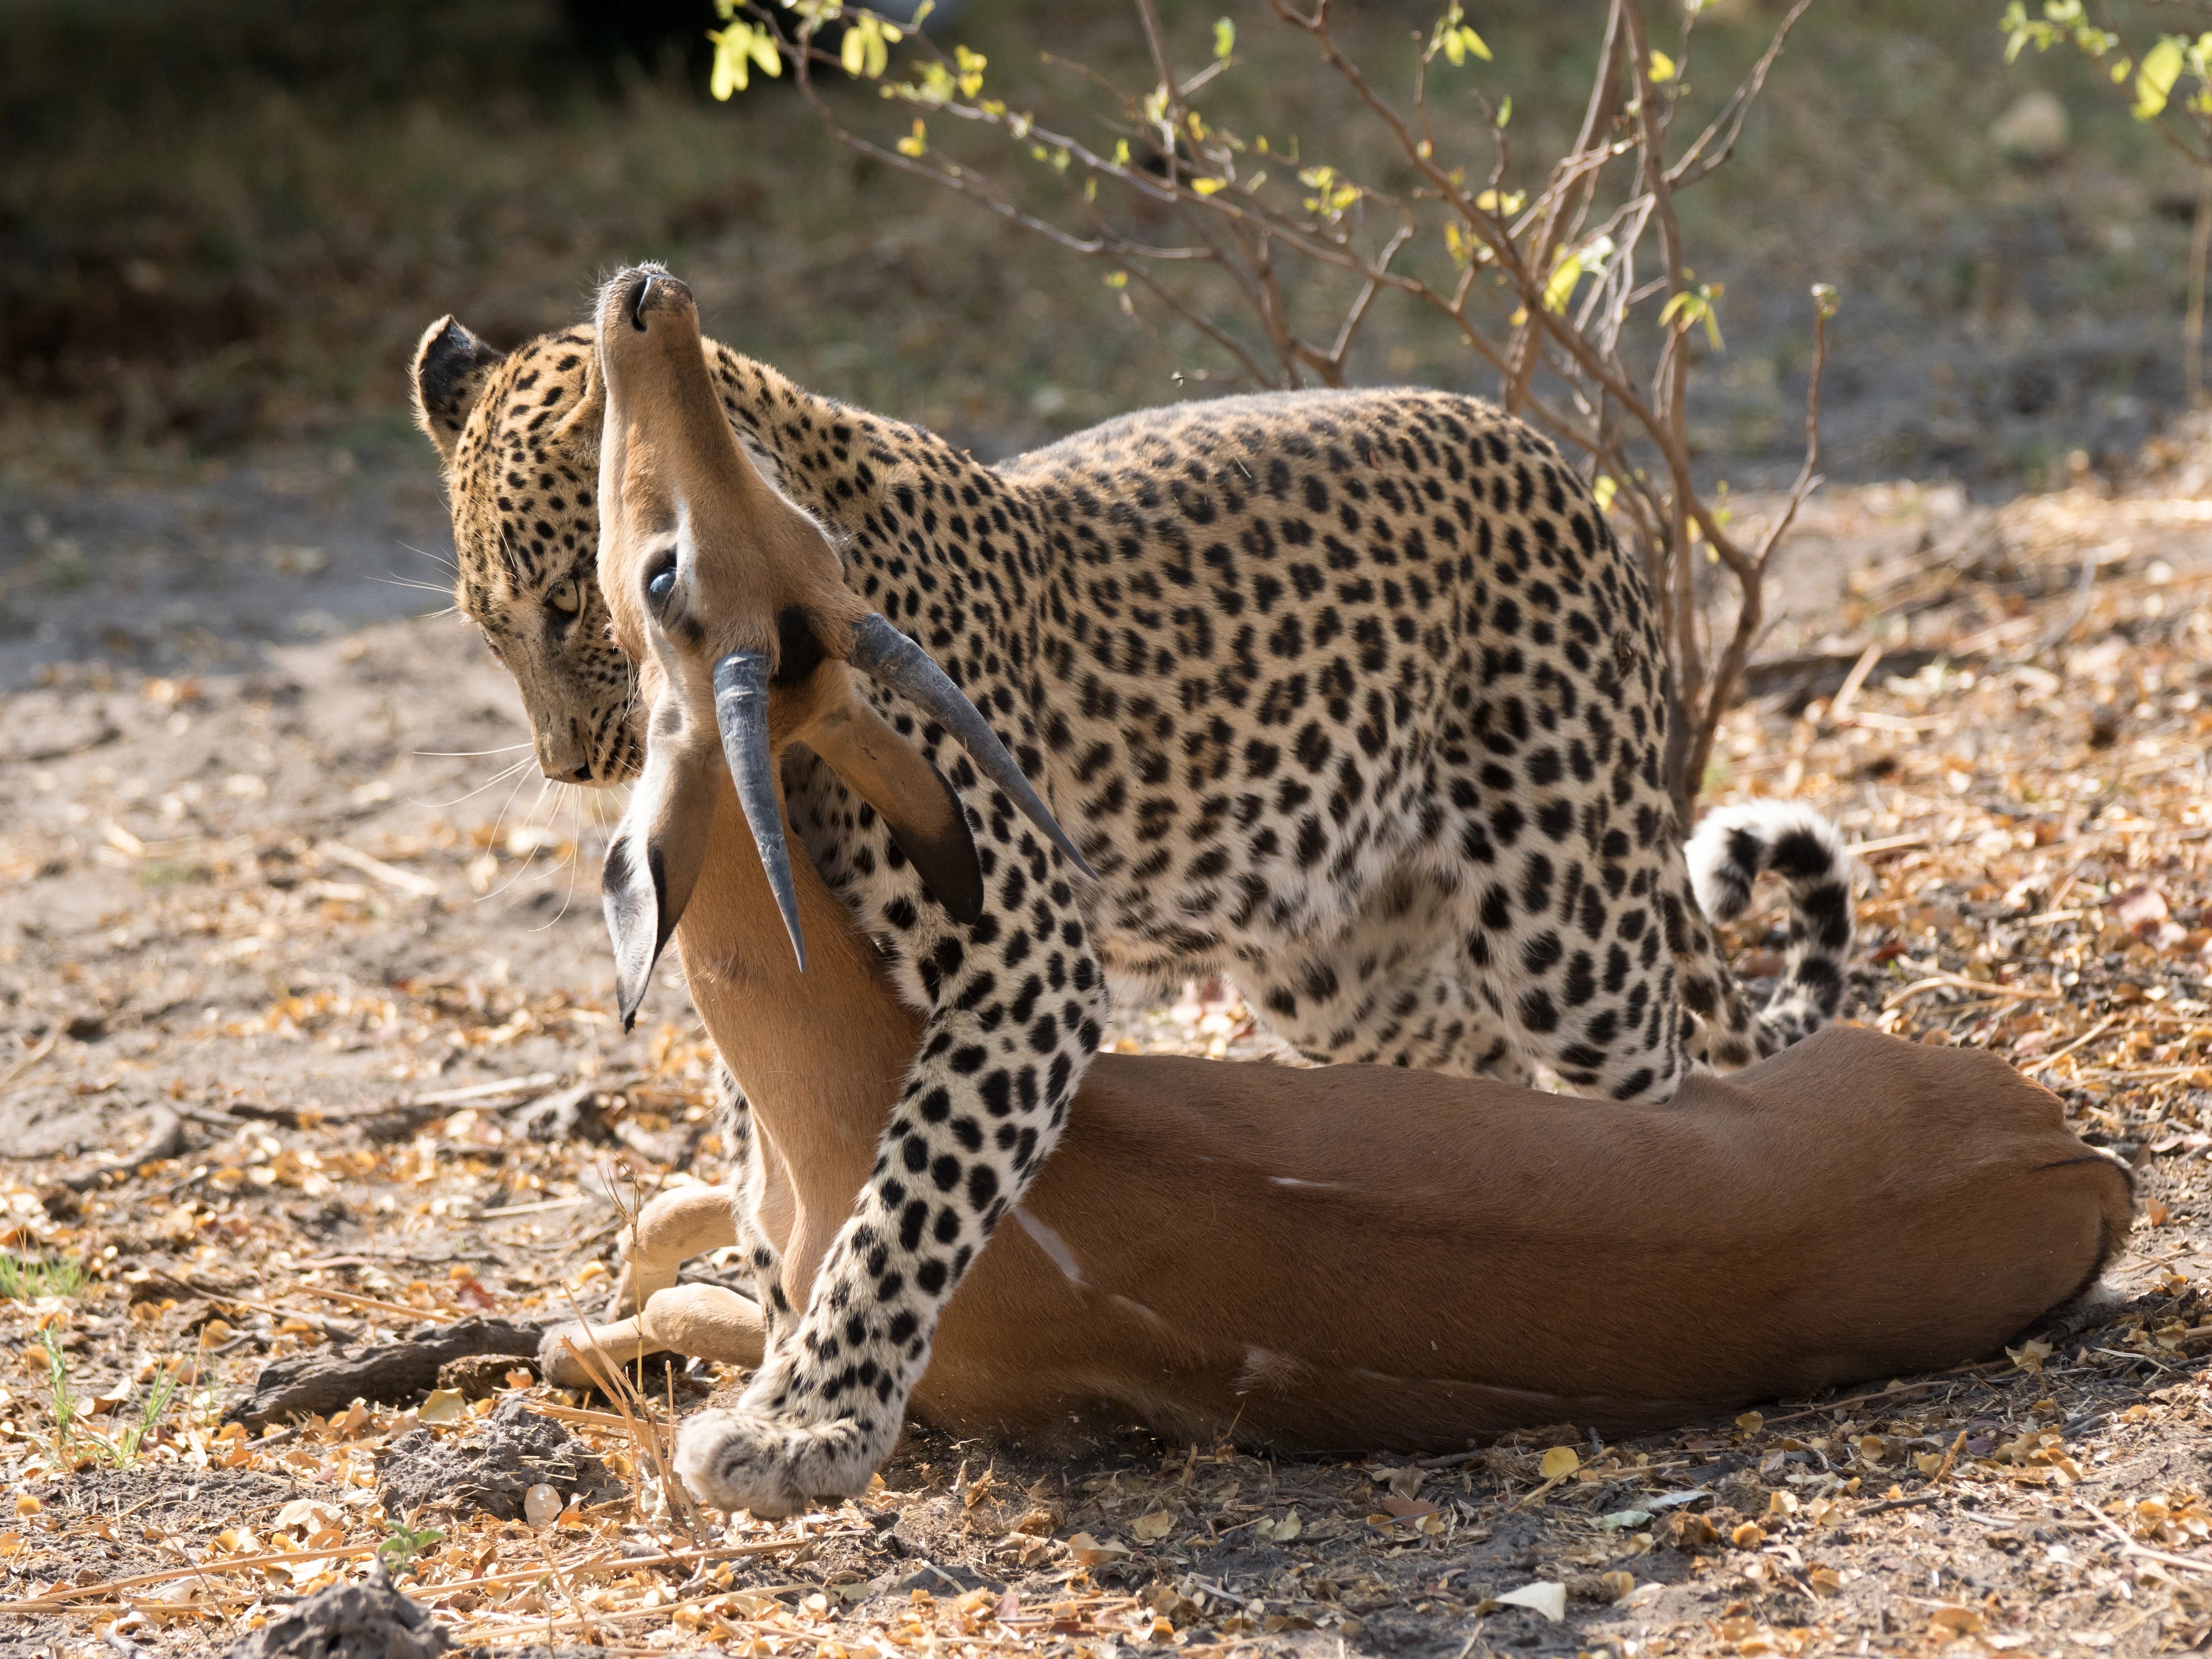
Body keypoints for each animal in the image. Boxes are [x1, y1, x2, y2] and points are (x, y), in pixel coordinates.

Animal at [555, 267, 2135, 1518]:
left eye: (668, 568)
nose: (650, 297)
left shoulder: (1014, 998)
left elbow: (853, 1228)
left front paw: (784, 1418)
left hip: (1571, 929)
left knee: (1636, 1042)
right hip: (1348, 977)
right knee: (1482, 1053)